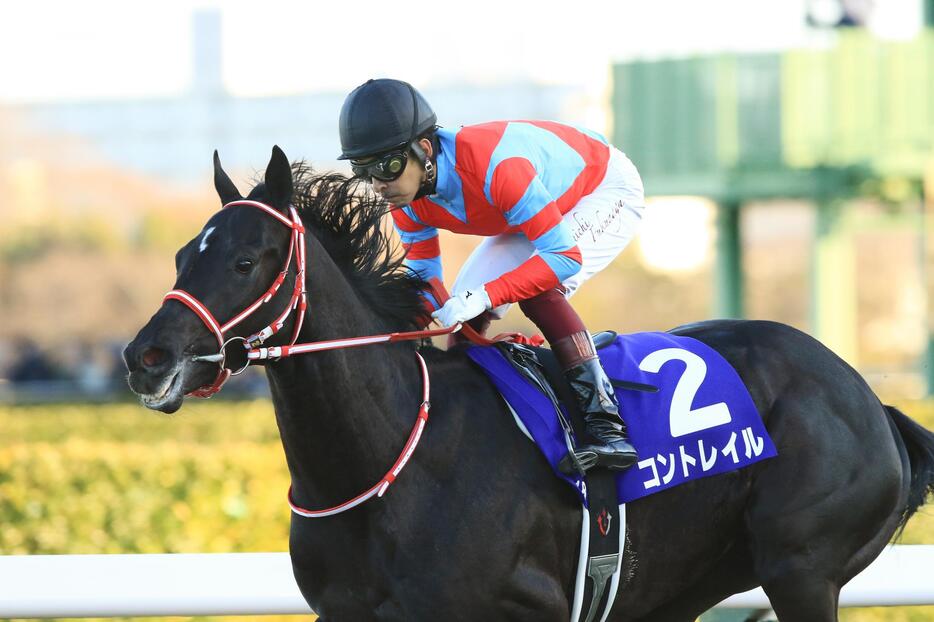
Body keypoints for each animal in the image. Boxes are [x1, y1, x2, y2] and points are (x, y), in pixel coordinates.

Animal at [126, 149, 934, 620]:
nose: (146, 356)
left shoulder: (530, 608)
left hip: (802, 568)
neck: (389, 458)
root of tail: (866, 397)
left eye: (246, 260)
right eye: (181, 254)